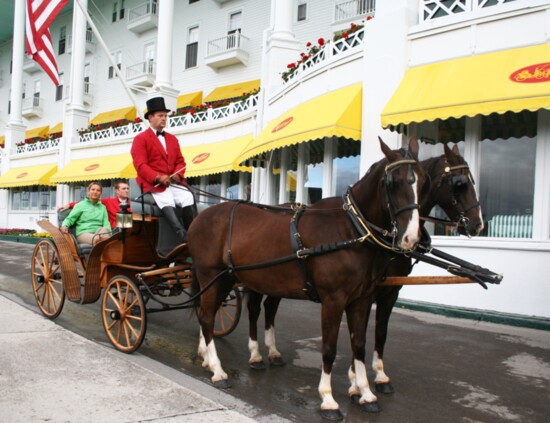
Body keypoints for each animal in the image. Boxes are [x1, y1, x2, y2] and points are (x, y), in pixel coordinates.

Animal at [190, 139, 432, 420]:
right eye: (393, 182)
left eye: (424, 181)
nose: (411, 238)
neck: (351, 229)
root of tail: (201, 216)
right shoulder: (333, 301)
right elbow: (329, 348)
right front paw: (328, 399)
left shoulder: (361, 299)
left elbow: (359, 345)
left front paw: (365, 392)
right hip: (211, 276)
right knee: (208, 316)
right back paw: (218, 370)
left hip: (226, 279)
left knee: (207, 313)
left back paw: (208, 358)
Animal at [247, 144, 488, 396]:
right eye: (460, 183)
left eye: (425, 183)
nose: (478, 224)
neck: (363, 227)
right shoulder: (365, 292)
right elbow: (358, 335)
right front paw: (356, 380)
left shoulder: (389, 292)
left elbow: (377, 333)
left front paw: (373, 378)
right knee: (254, 309)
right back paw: (255, 355)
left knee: (270, 307)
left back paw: (273, 352)